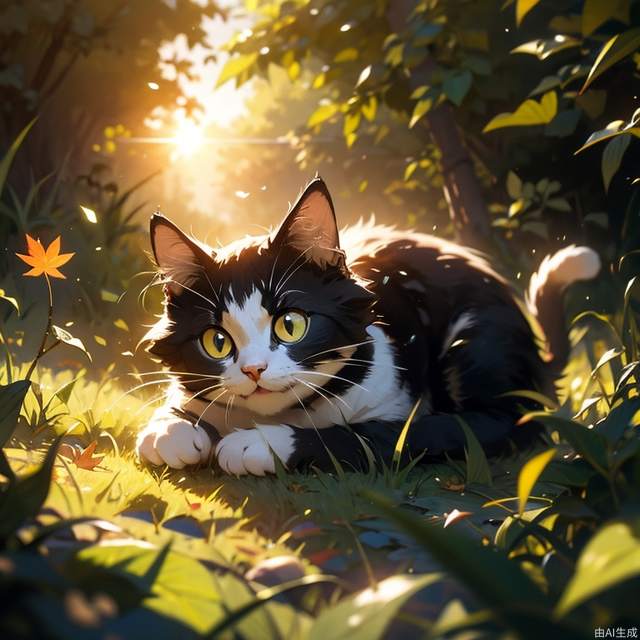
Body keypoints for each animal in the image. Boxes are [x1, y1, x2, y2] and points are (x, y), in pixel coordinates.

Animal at [135, 178, 600, 472]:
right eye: (217, 341)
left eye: (290, 325)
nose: (253, 370)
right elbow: (173, 413)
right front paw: (172, 430)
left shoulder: (396, 405)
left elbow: (373, 435)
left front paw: (259, 443)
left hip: (478, 335)